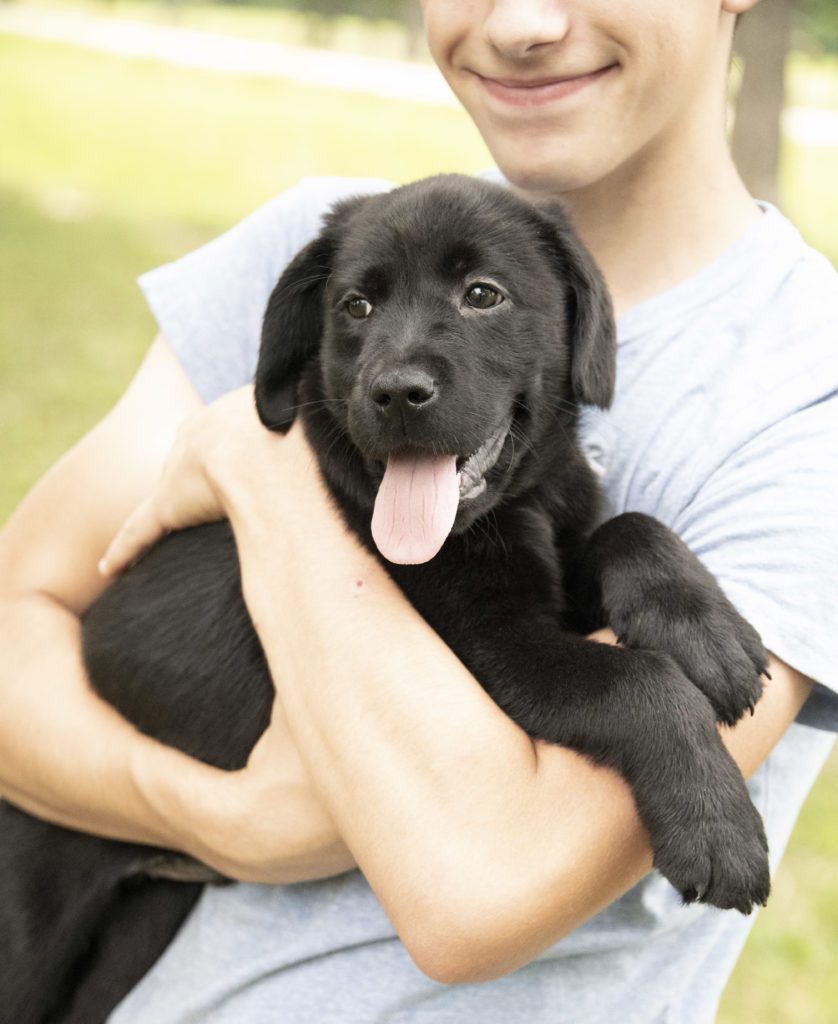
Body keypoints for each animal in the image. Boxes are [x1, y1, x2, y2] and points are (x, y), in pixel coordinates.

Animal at [1, 176, 770, 1024]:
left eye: (483, 294)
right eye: (356, 306)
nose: (398, 392)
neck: (517, 507)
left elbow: (628, 527)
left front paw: (706, 631)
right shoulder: (494, 651)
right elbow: (639, 682)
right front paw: (717, 828)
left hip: (140, 927)